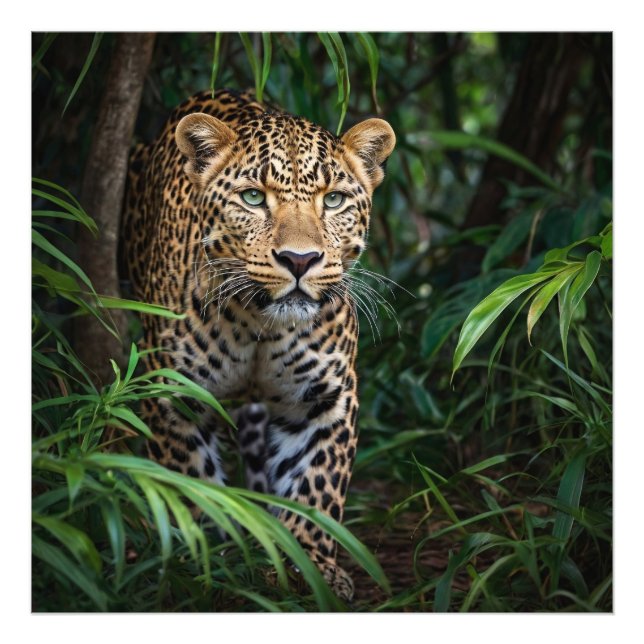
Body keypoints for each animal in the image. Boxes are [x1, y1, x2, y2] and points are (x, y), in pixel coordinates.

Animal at [122, 88, 395, 601]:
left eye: (333, 200)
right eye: (252, 197)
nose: (300, 260)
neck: (258, 323)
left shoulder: (324, 399)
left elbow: (315, 487)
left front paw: (310, 570)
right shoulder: (173, 394)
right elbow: (193, 486)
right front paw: (206, 563)